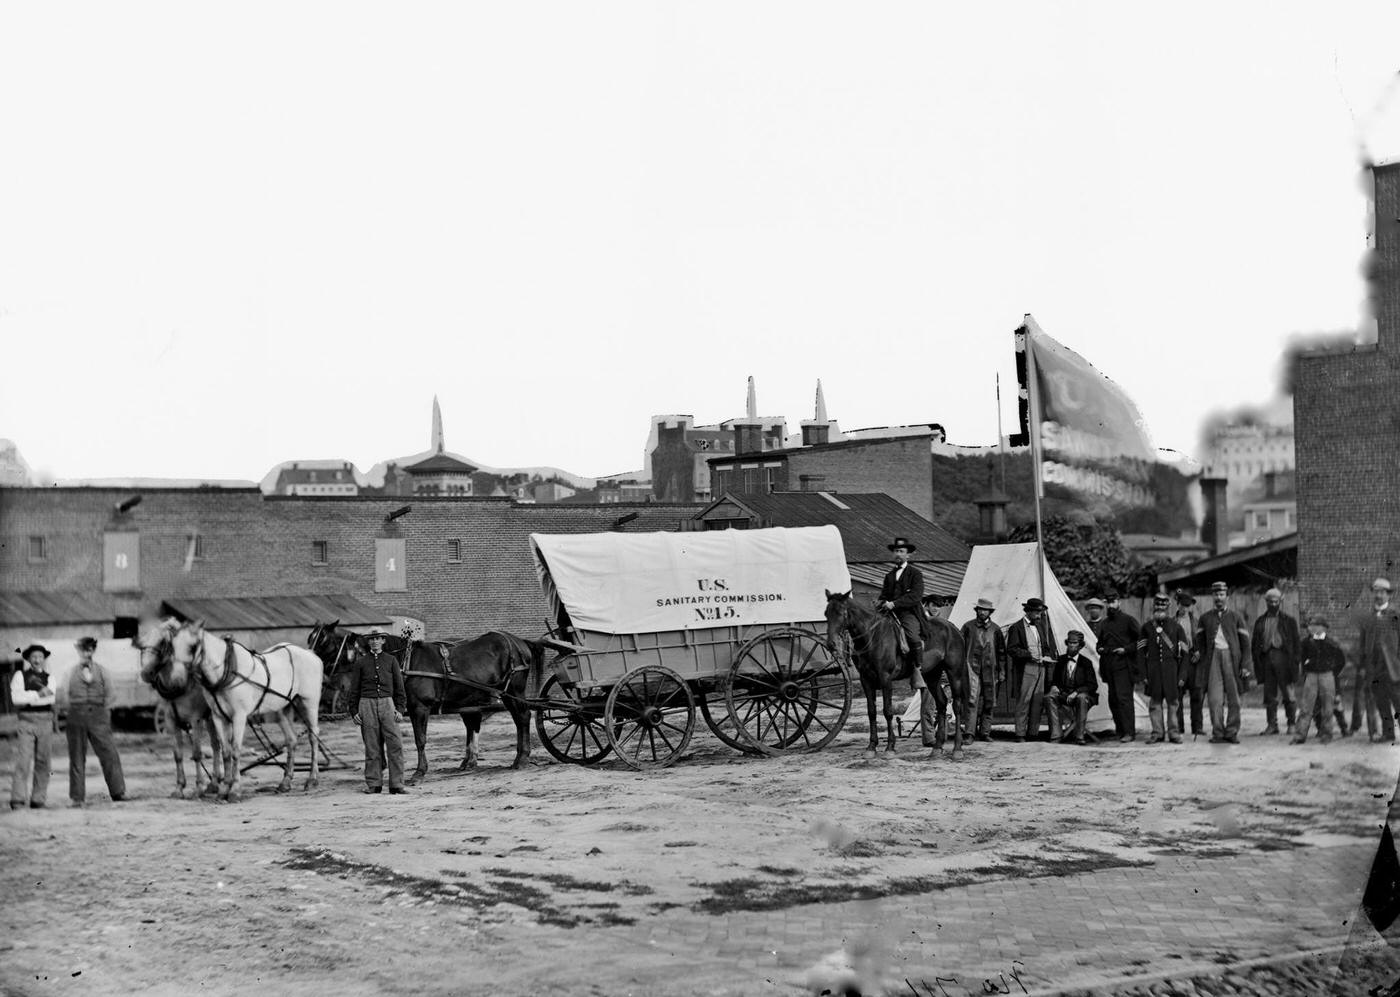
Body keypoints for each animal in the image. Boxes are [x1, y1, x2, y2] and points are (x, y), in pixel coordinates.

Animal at [138, 618, 225, 800]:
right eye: (142, 644)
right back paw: (214, 783)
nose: (146, 673)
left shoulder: (196, 719)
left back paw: (214, 782)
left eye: (162, 642)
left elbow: (197, 753)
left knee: (217, 745)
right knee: (215, 745)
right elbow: (177, 754)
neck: (178, 682)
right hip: (209, 718)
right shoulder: (171, 721)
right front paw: (179, 787)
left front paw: (198, 787)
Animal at [165, 618, 323, 800]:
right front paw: (224, 789)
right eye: (172, 646)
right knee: (291, 740)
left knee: (313, 736)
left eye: (193, 646)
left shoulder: (239, 716)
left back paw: (312, 779)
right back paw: (285, 782)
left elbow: (235, 750)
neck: (226, 671)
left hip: (309, 703)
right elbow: (226, 752)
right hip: (282, 709)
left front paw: (235, 790)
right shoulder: (219, 716)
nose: (175, 677)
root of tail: (310, 654)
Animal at [823, 588, 968, 761]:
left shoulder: (886, 678)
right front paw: (871, 746)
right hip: (932, 676)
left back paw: (957, 748)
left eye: (841, 612)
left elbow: (887, 711)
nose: (830, 644)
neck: (872, 637)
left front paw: (890, 747)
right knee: (941, 703)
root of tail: (953, 628)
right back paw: (937, 747)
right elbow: (871, 711)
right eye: (826, 613)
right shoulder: (866, 680)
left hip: (954, 673)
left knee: (957, 705)